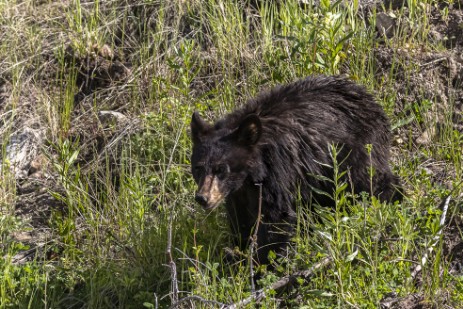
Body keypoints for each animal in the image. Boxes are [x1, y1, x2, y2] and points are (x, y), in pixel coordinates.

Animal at [190, 76, 400, 264]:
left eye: (221, 169)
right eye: (198, 168)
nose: (203, 198)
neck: (250, 175)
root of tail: (372, 101)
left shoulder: (277, 170)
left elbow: (276, 218)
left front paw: (263, 267)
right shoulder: (237, 193)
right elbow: (240, 219)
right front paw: (237, 255)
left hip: (357, 152)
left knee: (372, 181)